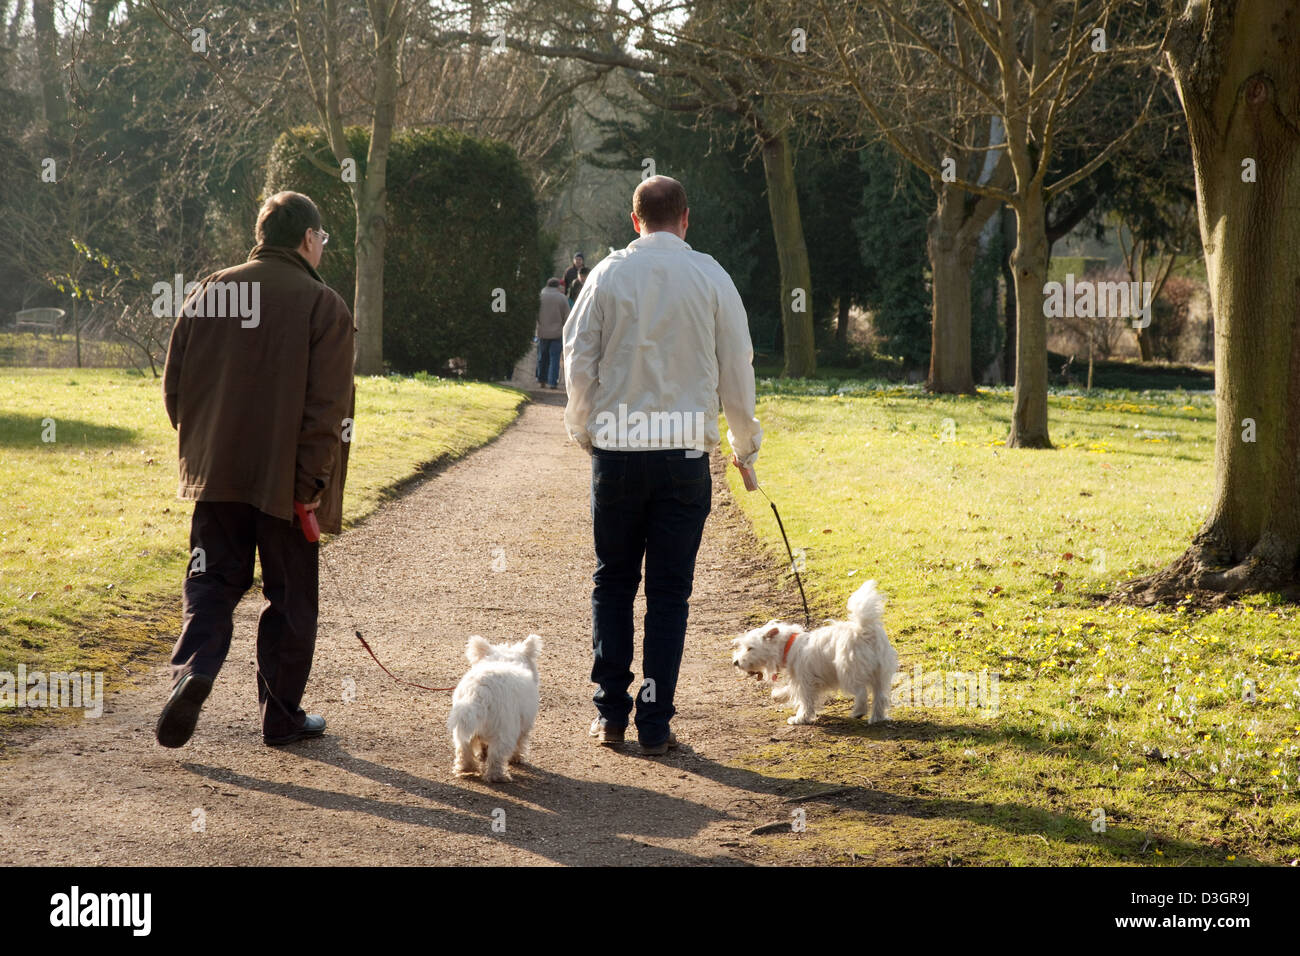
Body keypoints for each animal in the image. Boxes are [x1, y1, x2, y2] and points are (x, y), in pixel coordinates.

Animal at [447, 634, 538, 785]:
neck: (503, 659)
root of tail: (479, 691)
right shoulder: (523, 724)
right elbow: (520, 743)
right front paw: (517, 758)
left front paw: (483, 752)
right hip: (503, 730)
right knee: (497, 756)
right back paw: (498, 777)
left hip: (463, 726)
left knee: (463, 748)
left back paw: (466, 769)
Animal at [728, 582, 899, 723]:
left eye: (750, 648)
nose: (735, 662)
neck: (789, 646)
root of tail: (865, 631)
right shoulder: (803, 679)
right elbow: (791, 690)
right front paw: (778, 695)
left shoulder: (805, 680)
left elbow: (805, 700)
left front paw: (800, 718)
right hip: (880, 674)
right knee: (880, 697)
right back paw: (876, 718)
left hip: (849, 672)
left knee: (862, 692)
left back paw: (858, 712)